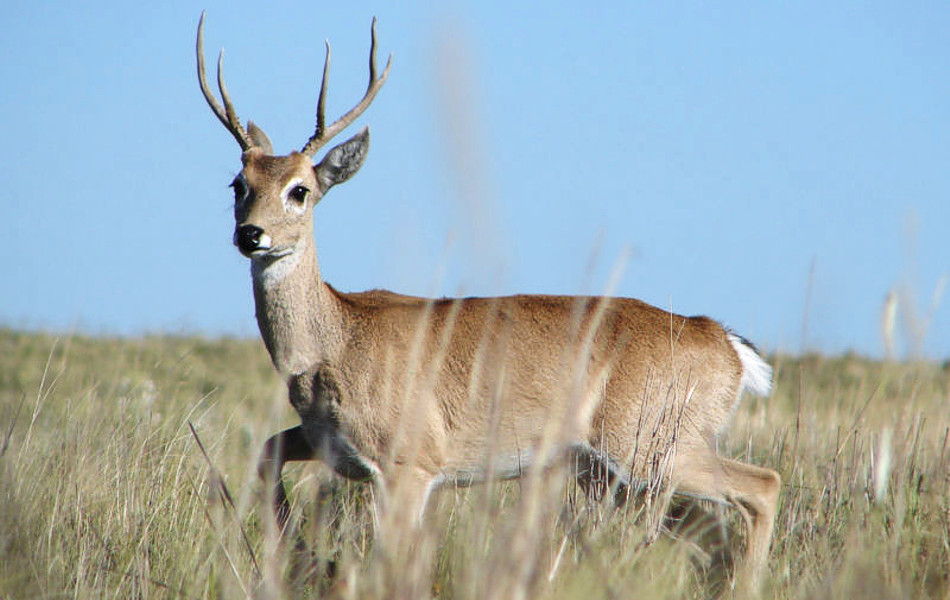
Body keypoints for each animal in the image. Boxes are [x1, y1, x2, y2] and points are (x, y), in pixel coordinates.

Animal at [195, 11, 780, 584]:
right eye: (238, 185)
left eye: (300, 190)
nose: (250, 235)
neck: (331, 344)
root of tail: (726, 344)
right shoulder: (326, 443)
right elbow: (267, 452)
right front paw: (298, 556)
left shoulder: (411, 460)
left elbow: (395, 561)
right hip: (612, 468)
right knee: (704, 528)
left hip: (652, 445)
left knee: (762, 485)